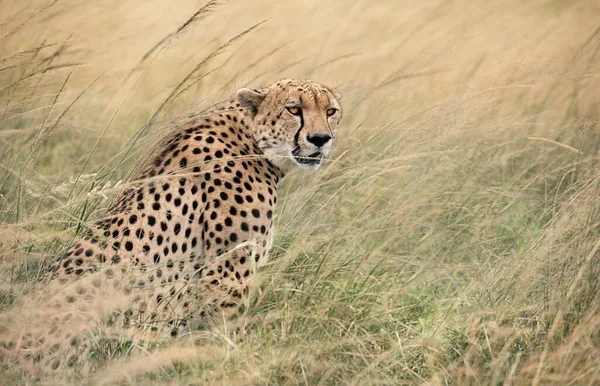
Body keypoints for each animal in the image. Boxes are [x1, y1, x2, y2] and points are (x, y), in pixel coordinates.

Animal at [0, 77, 342, 378]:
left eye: (330, 111)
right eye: (293, 109)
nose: (320, 139)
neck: (251, 140)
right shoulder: (226, 277)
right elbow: (227, 340)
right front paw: (235, 366)